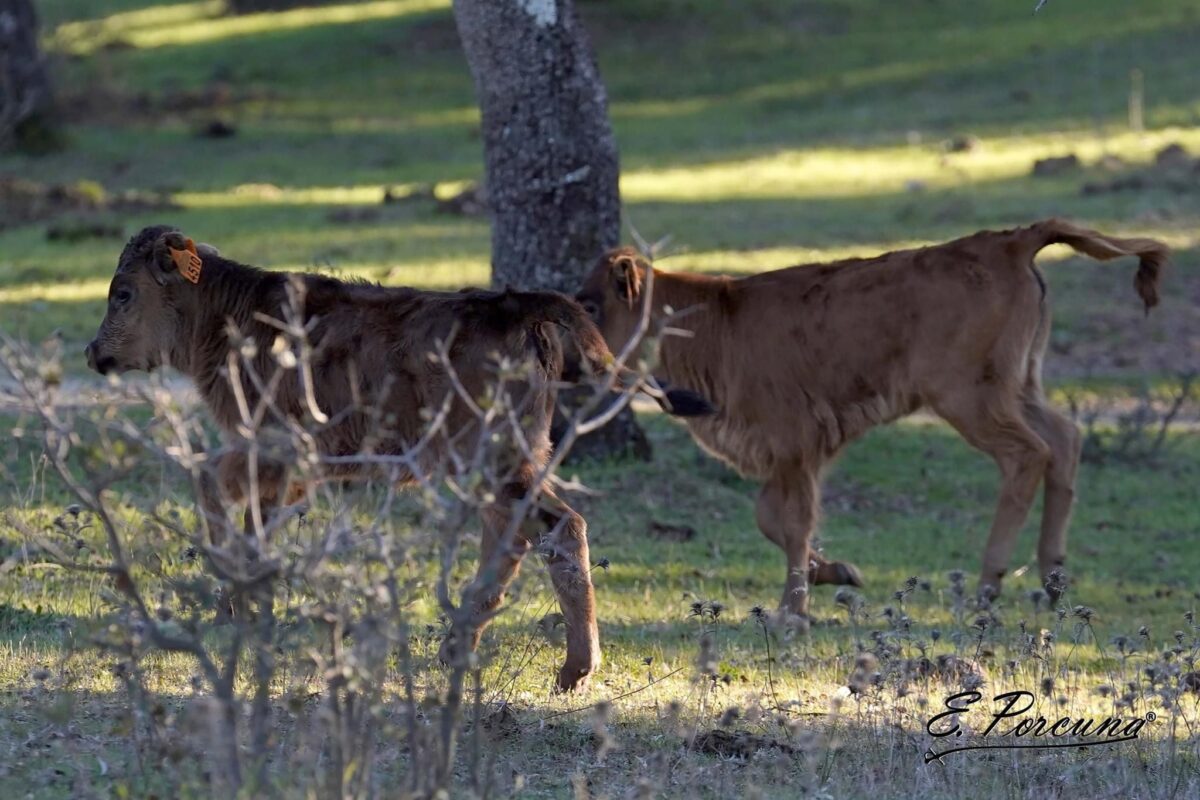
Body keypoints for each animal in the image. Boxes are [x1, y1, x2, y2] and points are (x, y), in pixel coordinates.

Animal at [576, 219, 1166, 618]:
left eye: (590, 305)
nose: (582, 360)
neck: (715, 322)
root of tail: (1010, 241)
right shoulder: (790, 453)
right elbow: (770, 517)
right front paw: (838, 572)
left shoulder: (794, 444)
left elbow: (792, 520)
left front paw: (794, 610)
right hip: (1019, 386)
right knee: (1065, 439)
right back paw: (1052, 579)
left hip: (970, 399)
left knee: (1028, 454)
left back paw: (989, 585)